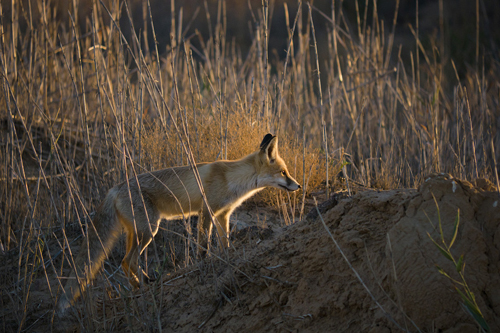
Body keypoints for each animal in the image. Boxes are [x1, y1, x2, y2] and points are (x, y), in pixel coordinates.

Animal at [57, 133, 300, 314]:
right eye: (284, 172)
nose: (298, 185)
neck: (233, 180)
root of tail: (115, 188)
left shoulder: (223, 215)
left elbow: (225, 242)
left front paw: (228, 257)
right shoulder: (206, 212)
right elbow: (203, 246)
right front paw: (202, 264)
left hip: (136, 232)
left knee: (127, 262)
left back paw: (141, 284)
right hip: (149, 230)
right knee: (127, 261)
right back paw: (142, 286)